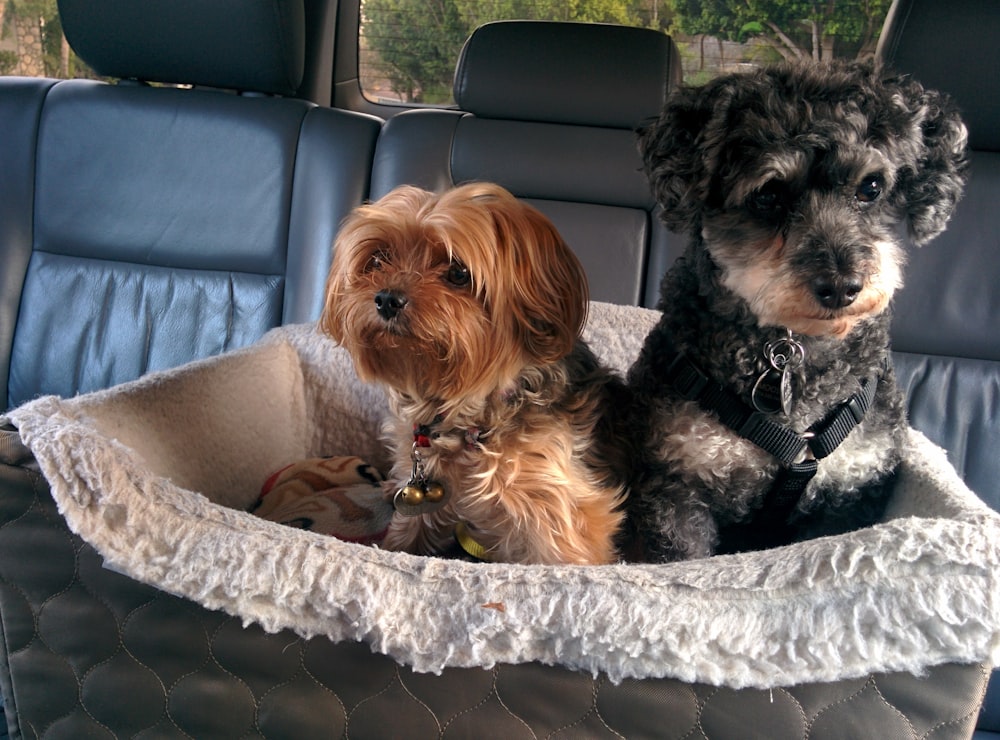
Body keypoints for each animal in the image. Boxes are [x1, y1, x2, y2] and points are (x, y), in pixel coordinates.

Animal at [624, 62, 968, 560]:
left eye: (871, 187)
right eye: (768, 195)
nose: (842, 286)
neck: (790, 349)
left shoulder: (850, 490)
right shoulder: (679, 485)